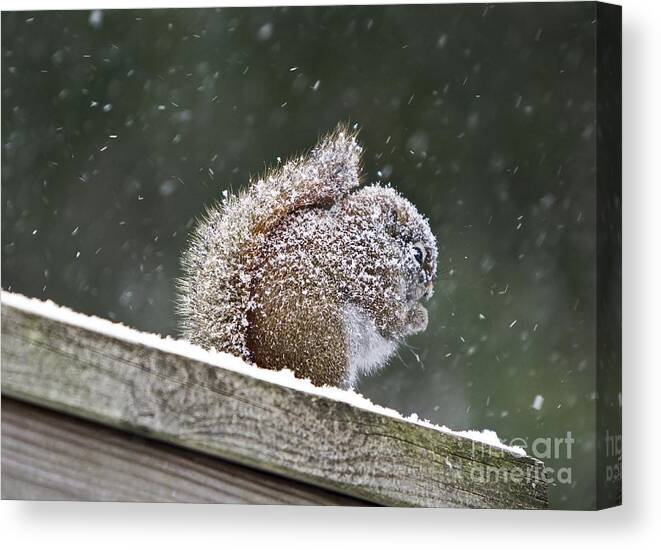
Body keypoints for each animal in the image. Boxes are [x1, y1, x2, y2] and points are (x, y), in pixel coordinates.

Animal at [178, 127, 436, 390]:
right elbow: (390, 320)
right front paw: (420, 317)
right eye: (417, 254)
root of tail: (260, 363)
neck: (369, 234)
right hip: (328, 343)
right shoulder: (374, 275)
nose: (428, 291)